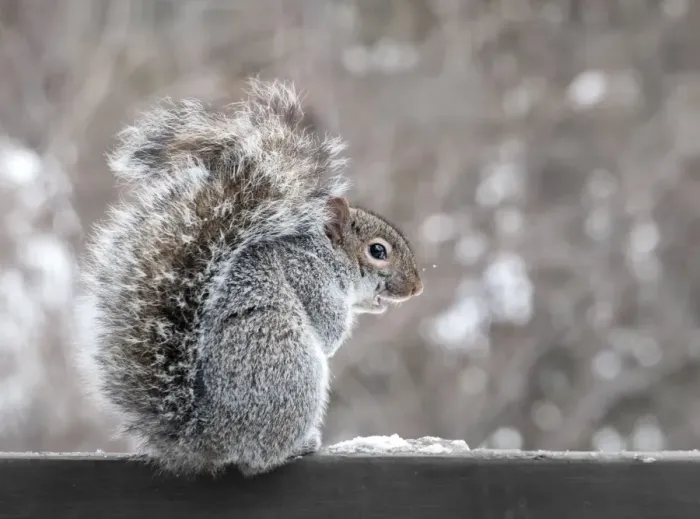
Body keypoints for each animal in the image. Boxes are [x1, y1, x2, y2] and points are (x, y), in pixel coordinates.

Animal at [76, 79, 423, 478]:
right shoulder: (308, 276)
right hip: (290, 367)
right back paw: (299, 445)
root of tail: (207, 438)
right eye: (377, 251)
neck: (327, 255)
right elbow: (327, 327)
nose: (417, 287)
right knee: (260, 457)